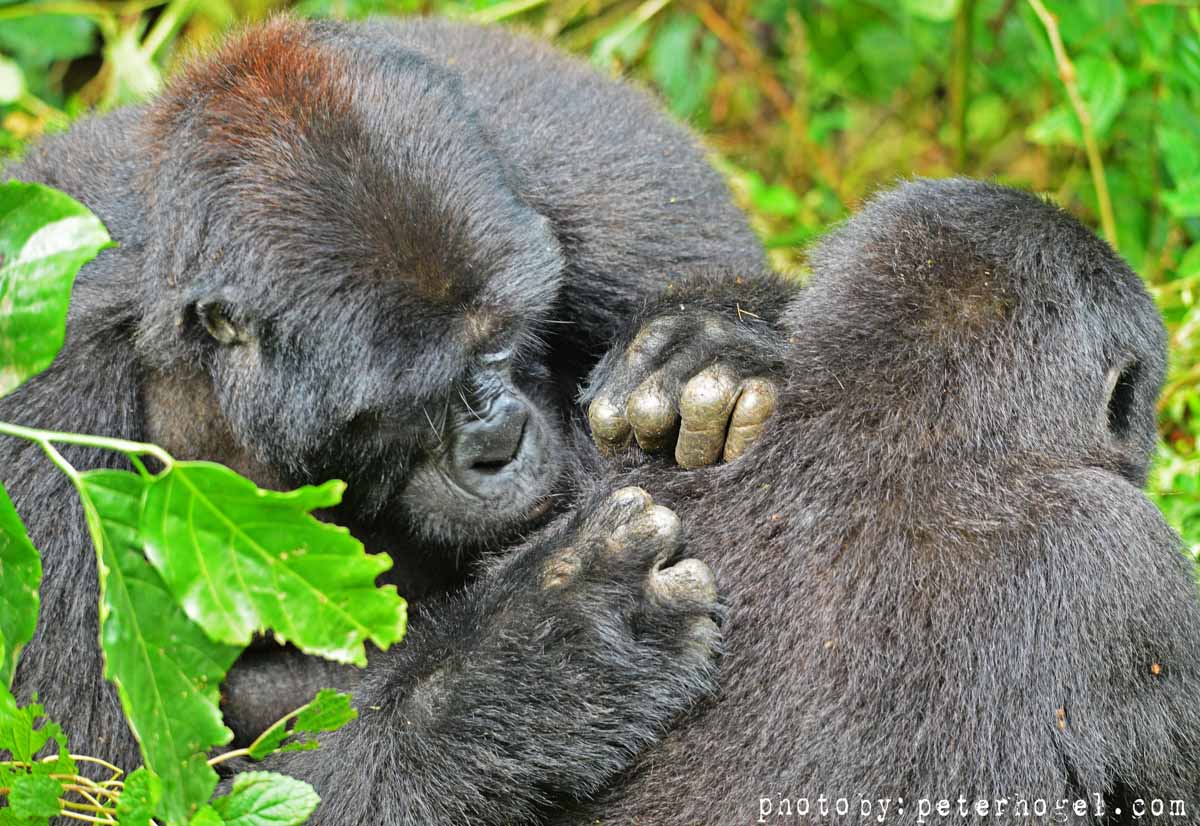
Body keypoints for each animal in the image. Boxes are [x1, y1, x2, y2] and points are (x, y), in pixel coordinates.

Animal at [0, 17, 798, 824]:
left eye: (505, 338)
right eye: (421, 395)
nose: (501, 445)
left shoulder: (585, 170)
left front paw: (706, 341)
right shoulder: (41, 404)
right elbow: (103, 784)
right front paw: (544, 657)